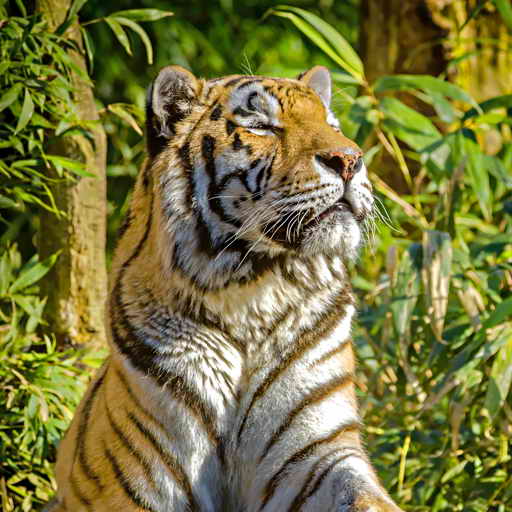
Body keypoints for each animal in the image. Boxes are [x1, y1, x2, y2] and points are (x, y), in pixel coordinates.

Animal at [45, 66, 404, 510]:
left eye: (332, 125)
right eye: (262, 126)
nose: (350, 160)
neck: (252, 293)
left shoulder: (318, 450)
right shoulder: (150, 469)